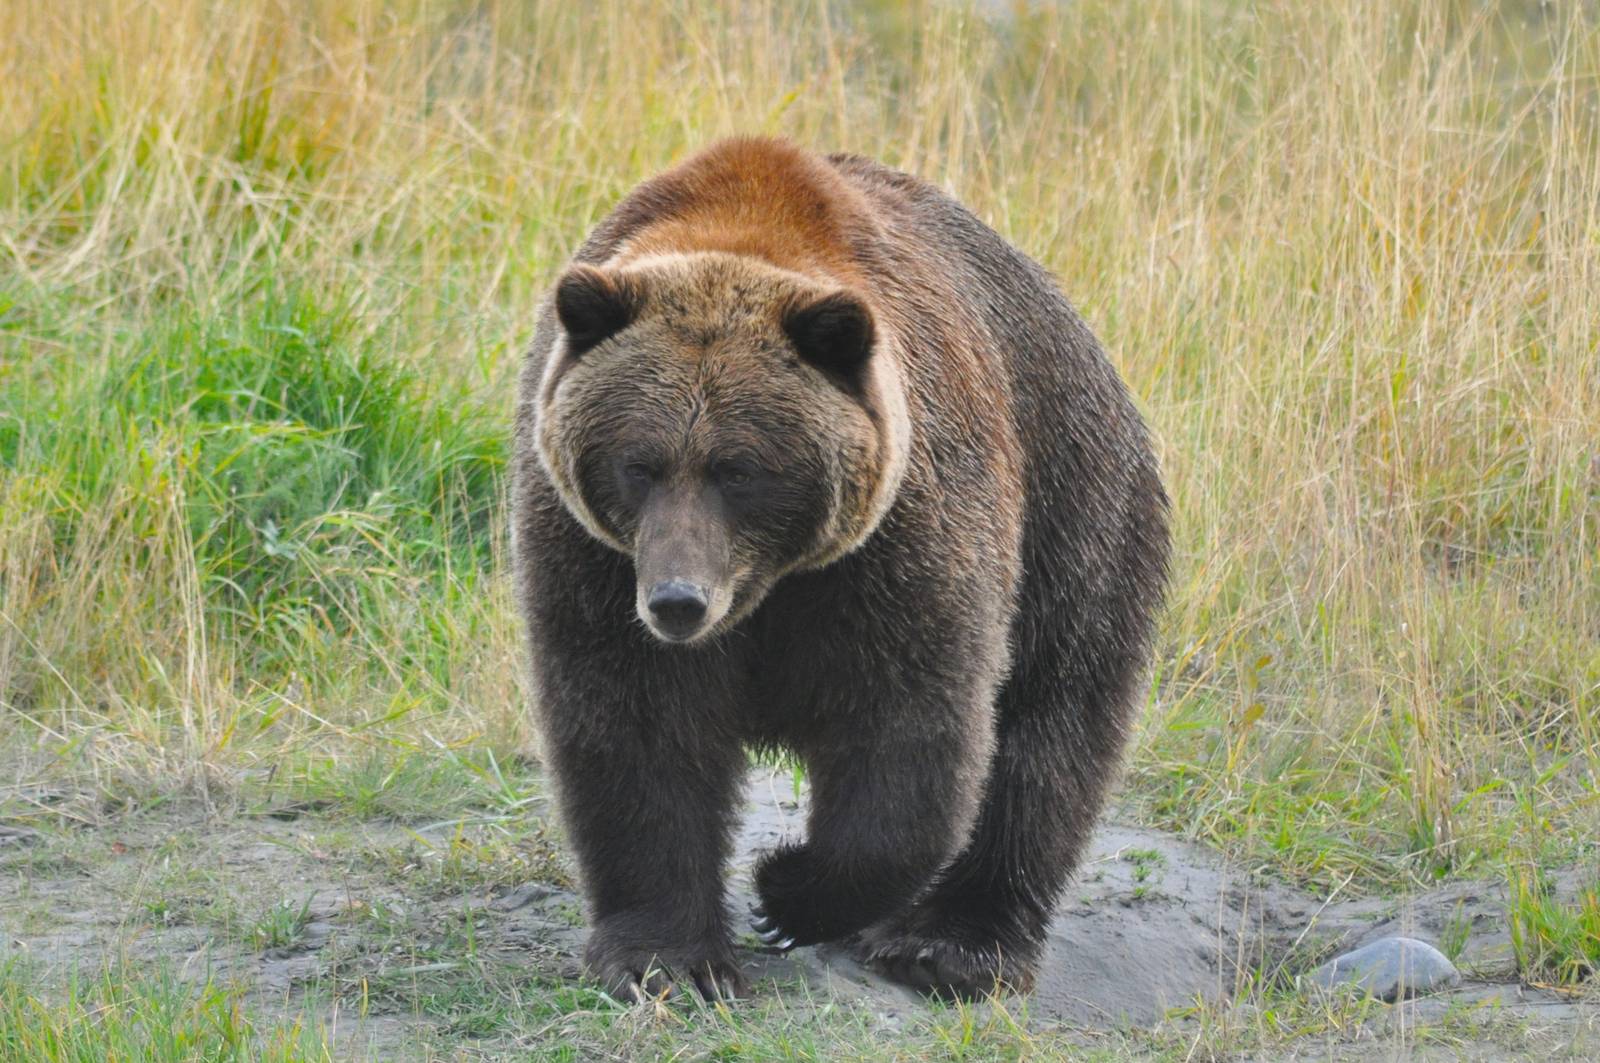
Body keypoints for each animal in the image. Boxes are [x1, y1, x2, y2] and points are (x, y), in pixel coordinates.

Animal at [510, 137, 1169, 1003]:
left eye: (739, 468)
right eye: (637, 463)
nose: (678, 601)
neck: (768, 587)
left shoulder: (895, 544)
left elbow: (909, 728)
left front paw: (785, 891)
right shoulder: (595, 555)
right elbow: (637, 728)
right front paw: (667, 958)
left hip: (1076, 507)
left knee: (1051, 725)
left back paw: (952, 943)